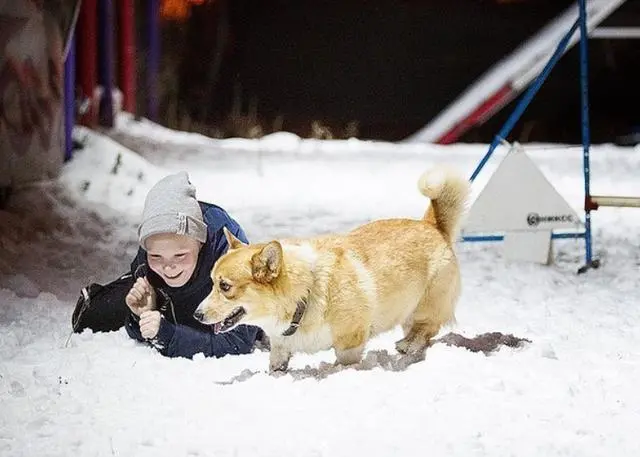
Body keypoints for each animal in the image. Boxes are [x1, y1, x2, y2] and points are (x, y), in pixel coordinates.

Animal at [195, 165, 470, 370]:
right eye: (211, 283)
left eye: (225, 286)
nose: (197, 315)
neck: (303, 296)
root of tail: (432, 226)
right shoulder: (280, 347)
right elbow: (276, 365)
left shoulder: (350, 341)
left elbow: (344, 363)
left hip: (426, 305)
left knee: (426, 330)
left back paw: (407, 347)